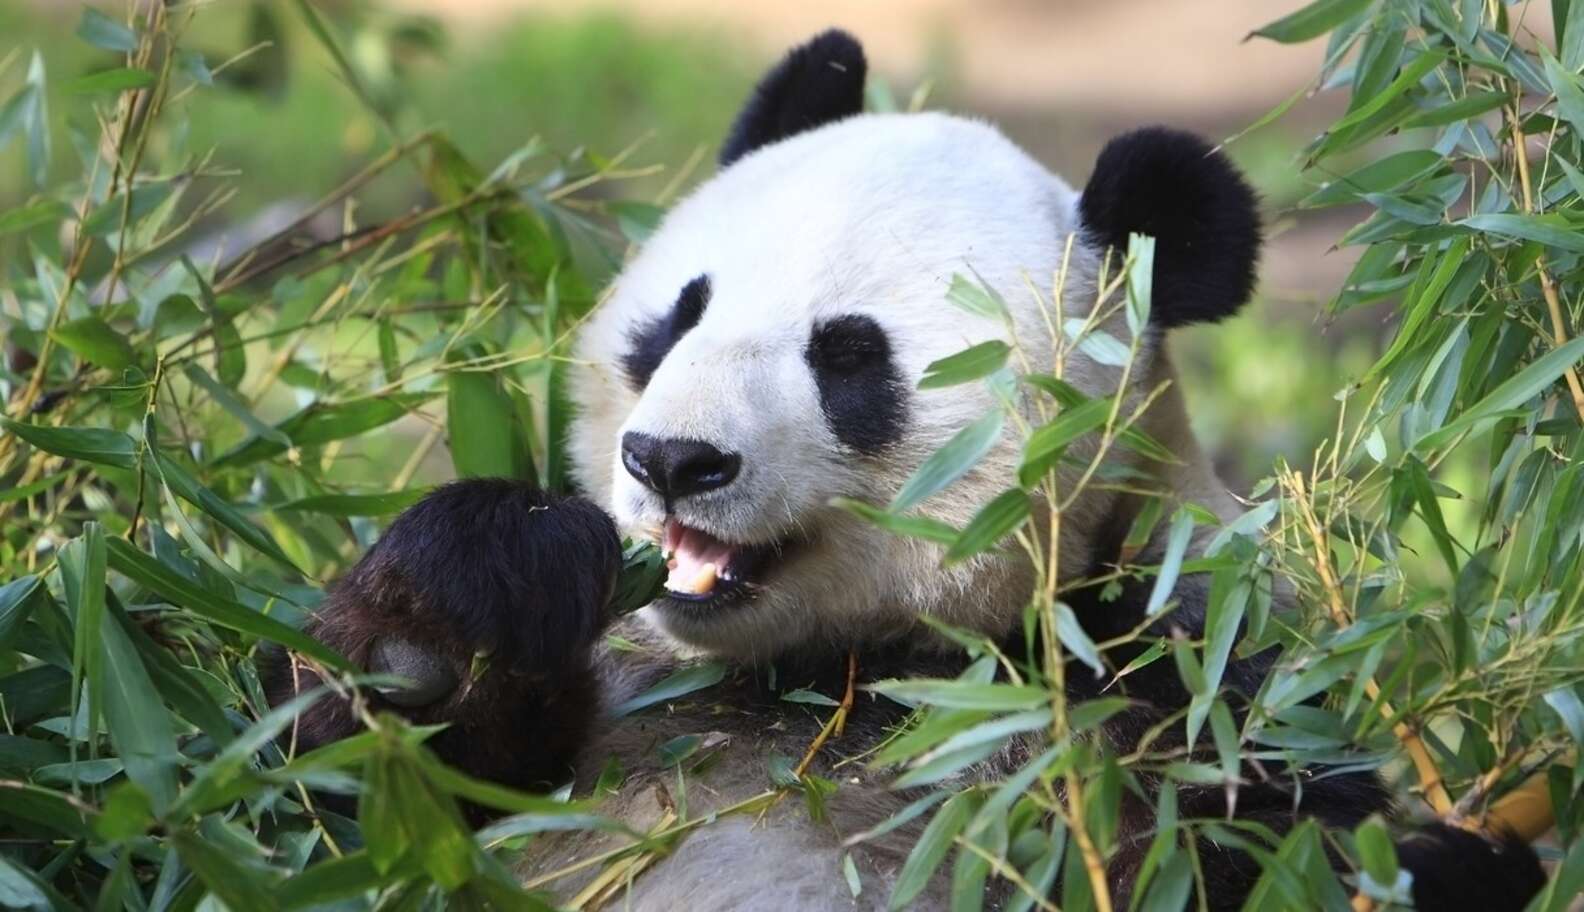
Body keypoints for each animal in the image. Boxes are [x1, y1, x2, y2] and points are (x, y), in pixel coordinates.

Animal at [269, 28, 1546, 912]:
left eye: (847, 356)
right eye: (679, 315)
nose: (671, 459)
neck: (835, 675)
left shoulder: (1197, 683)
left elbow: (1296, 834)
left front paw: (1450, 861)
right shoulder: (618, 691)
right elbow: (337, 804)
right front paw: (465, 603)